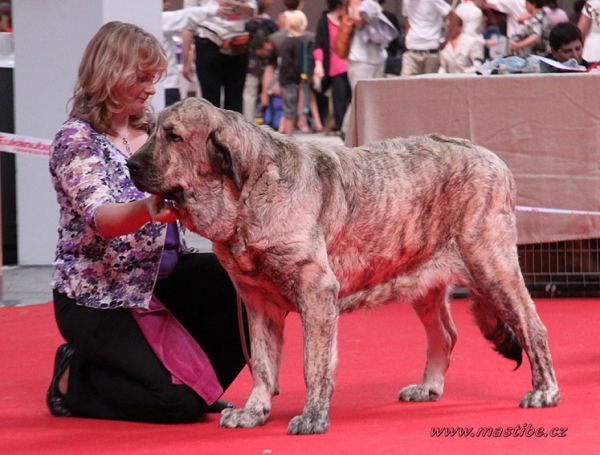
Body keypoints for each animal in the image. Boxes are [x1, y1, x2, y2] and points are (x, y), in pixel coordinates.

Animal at [127, 99, 564, 434]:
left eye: (173, 136)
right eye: (149, 131)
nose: (130, 164)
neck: (246, 194)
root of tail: (494, 159)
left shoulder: (316, 291)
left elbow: (314, 363)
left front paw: (313, 417)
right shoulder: (256, 302)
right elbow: (263, 365)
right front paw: (254, 411)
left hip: (490, 264)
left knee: (533, 326)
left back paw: (544, 390)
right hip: (424, 283)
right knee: (445, 335)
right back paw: (428, 387)